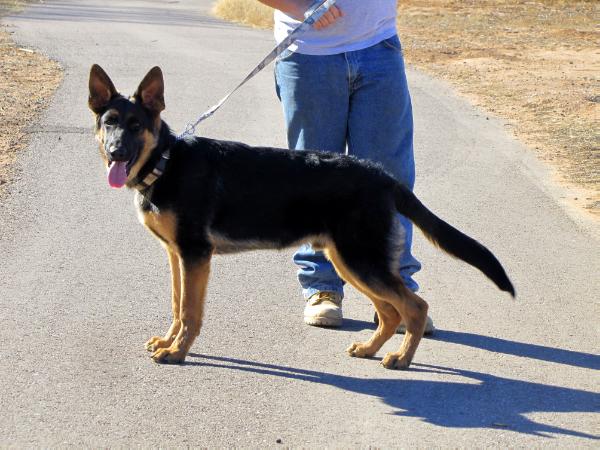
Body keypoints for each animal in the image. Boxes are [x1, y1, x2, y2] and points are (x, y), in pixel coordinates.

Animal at [89, 65, 516, 370]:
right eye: (109, 123)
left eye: (135, 126)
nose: (116, 153)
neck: (166, 163)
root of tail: (381, 175)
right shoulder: (177, 256)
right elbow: (177, 306)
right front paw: (167, 341)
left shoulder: (195, 256)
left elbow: (191, 312)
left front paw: (177, 352)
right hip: (349, 261)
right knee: (390, 311)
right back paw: (370, 349)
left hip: (361, 261)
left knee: (414, 307)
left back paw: (400, 359)